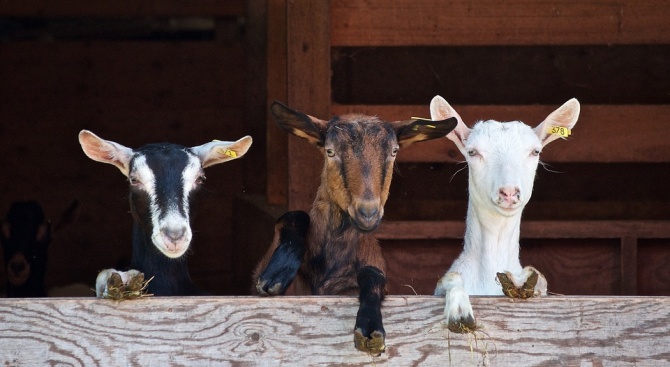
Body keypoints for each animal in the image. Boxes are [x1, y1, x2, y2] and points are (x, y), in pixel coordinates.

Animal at [255, 101, 460, 356]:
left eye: (394, 152)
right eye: (330, 151)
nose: (368, 213)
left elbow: (372, 274)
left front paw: (370, 327)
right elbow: (294, 216)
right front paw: (277, 273)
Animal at [430, 95, 584, 334]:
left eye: (535, 152)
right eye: (472, 152)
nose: (509, 192)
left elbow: (539, 278)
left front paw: (522, 282)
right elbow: (450, 278)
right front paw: (460, 311)